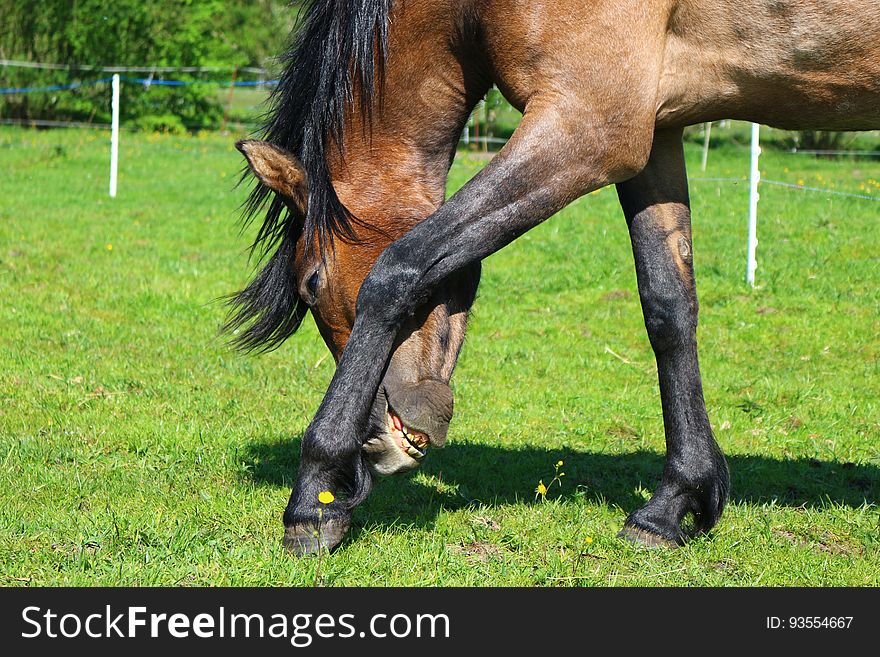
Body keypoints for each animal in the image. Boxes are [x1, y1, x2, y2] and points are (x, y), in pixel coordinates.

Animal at [229, 0, 880, 552]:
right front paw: (675, 502)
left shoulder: (588, 127)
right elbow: (668, 307)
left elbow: (397, 271)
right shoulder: (655, 133)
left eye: (312, 283)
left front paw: (315, 497)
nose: (375, 443)